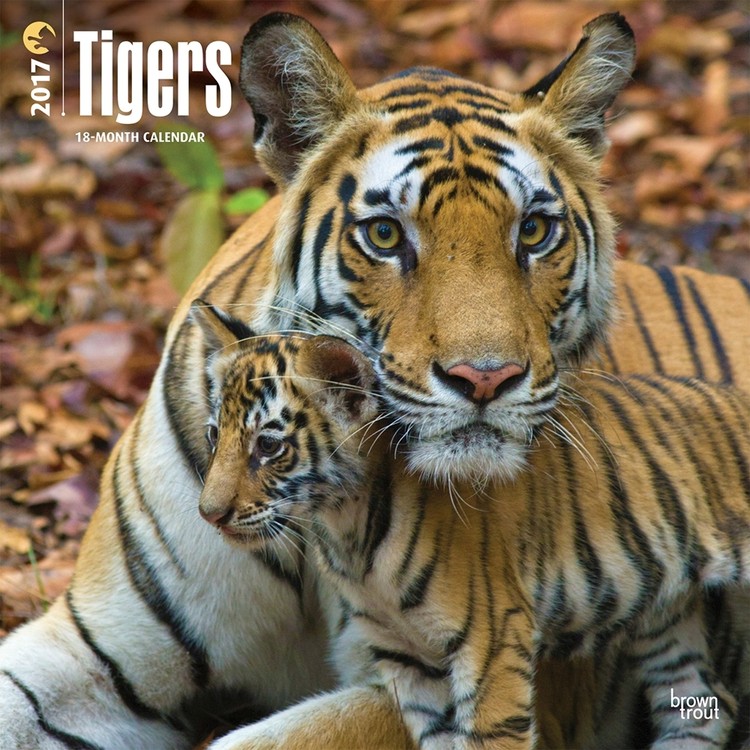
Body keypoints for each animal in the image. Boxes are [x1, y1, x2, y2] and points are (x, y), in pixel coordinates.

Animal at [189, 302, 749, 750]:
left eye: (268, 446)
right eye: (215, 435)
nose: (208, 513)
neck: (346, 528)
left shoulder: (494, 644)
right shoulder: (410, 661)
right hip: (662, 614)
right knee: (705, 703)